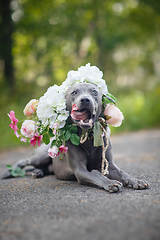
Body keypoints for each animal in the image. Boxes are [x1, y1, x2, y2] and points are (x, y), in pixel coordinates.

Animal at [1, 83, 149, 192]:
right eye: (74, 93)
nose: (85, 100)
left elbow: (123, 173)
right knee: (24, 161)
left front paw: (137, 181)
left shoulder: (109, 165)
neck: (88, 136)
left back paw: (38, 172)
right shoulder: (80, 170)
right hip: (41, 155)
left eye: (94, 92)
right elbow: (95, 174)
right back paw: (8, 172)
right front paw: (110, 183)